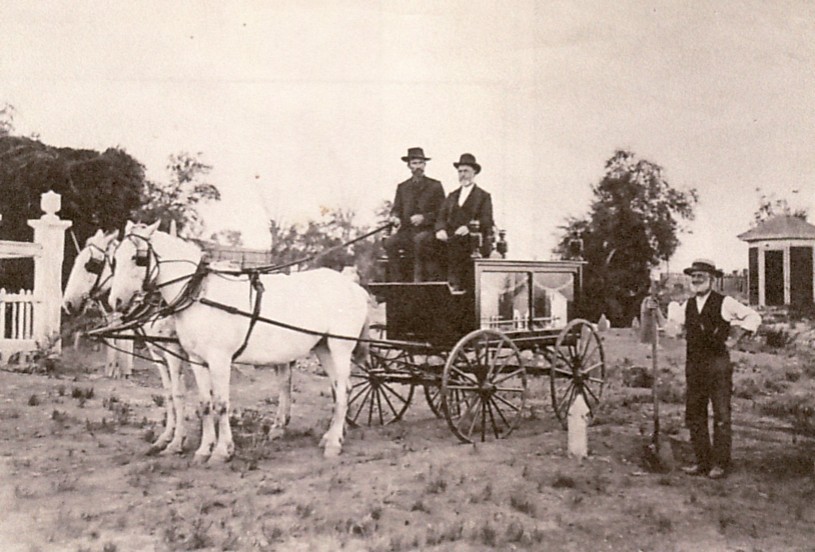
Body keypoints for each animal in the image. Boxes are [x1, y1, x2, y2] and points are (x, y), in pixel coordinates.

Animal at [63, 229, 294, 458]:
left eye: (91, 264)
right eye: (114, 261)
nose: (68, 304)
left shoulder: (174, 351)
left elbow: (179, 394)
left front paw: (177, 442)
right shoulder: (159, 354)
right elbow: (169, 395)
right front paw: (166, 438)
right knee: (284, 381)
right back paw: (279, 426)